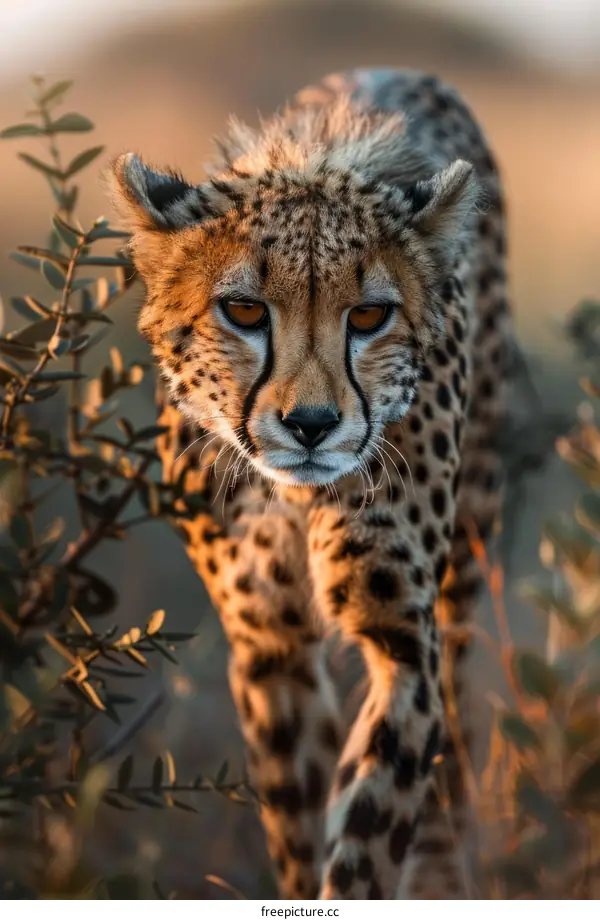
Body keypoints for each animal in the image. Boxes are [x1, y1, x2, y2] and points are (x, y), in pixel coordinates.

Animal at [107, 67, 513, 899]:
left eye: (368, 316)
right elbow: (298, 822)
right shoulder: (270, 644)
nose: (312, 424)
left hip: (466, 558)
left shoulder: (402, 638)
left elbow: (370, 831)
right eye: (242, 310)